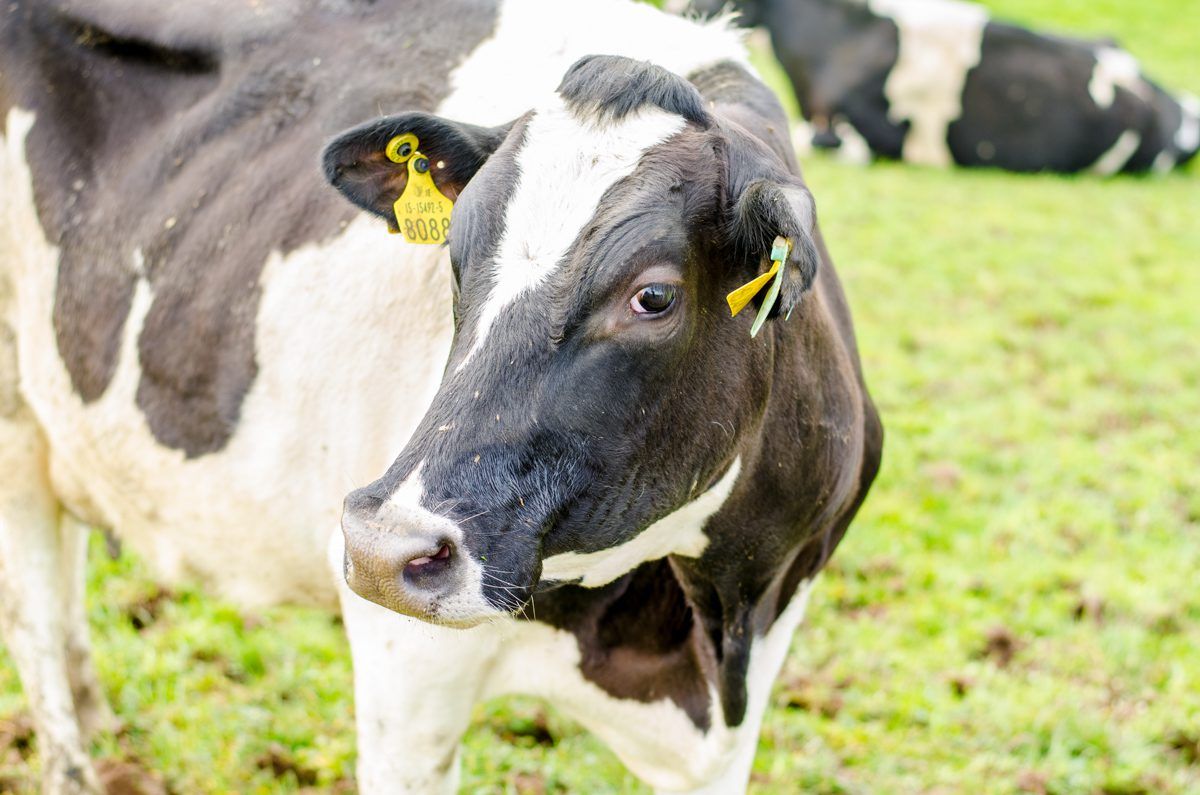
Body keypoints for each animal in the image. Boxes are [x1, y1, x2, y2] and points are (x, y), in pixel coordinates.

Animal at [0, 0, 881, 793]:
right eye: (454, 258)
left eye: (654, 296)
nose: (382, 545)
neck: (713, 616)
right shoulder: (405, 674)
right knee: (35, 603)